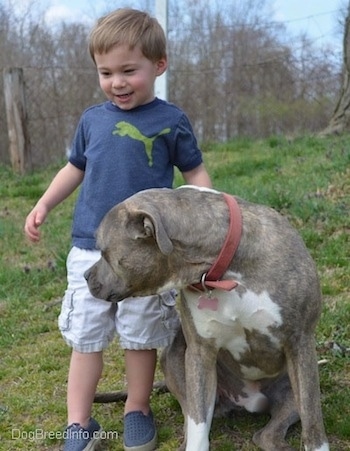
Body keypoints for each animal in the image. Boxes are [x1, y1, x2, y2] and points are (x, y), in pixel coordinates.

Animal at [85, 186, 328, 451]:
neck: (222, 272)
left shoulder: (300, 342)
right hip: (175, 358)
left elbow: (313, 426)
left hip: (295, 390)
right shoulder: (200, 353)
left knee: (269, 433)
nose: (86, 275)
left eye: (103, 251)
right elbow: (198, 428)